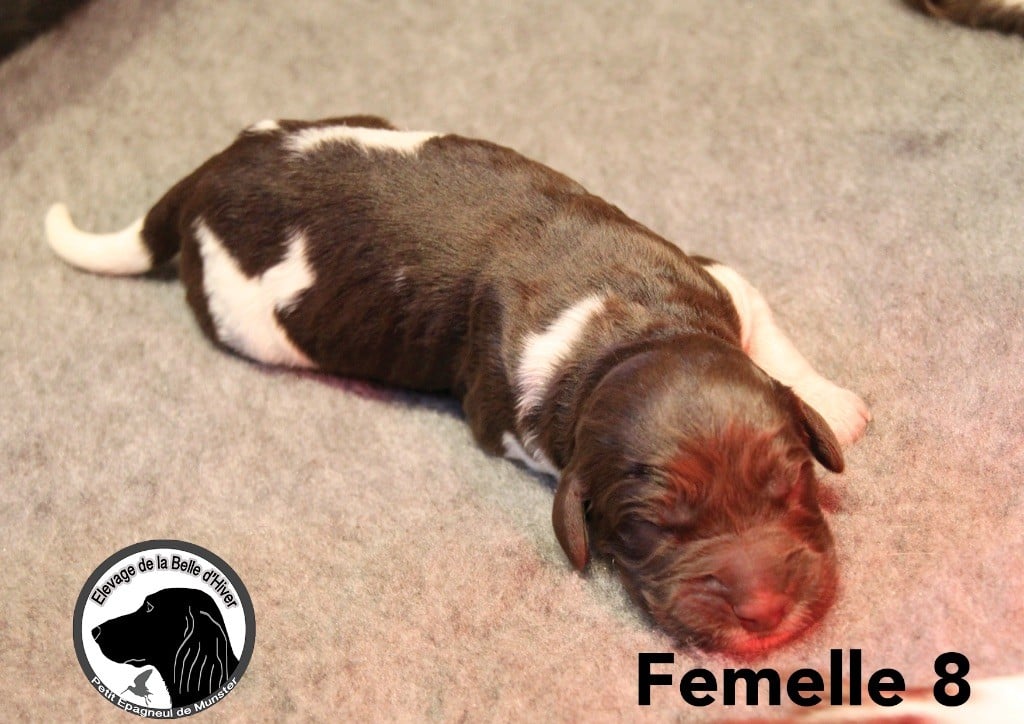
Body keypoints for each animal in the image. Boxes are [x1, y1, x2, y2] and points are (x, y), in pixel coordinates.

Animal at [48, 116, 869, 655]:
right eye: (649, 529)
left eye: (789, 482)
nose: (765, 611)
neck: (621, 335)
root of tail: (206, 177)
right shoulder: (507, 417)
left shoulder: (713, 279)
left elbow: (766, 325)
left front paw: (832, 403)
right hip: (246, 318)